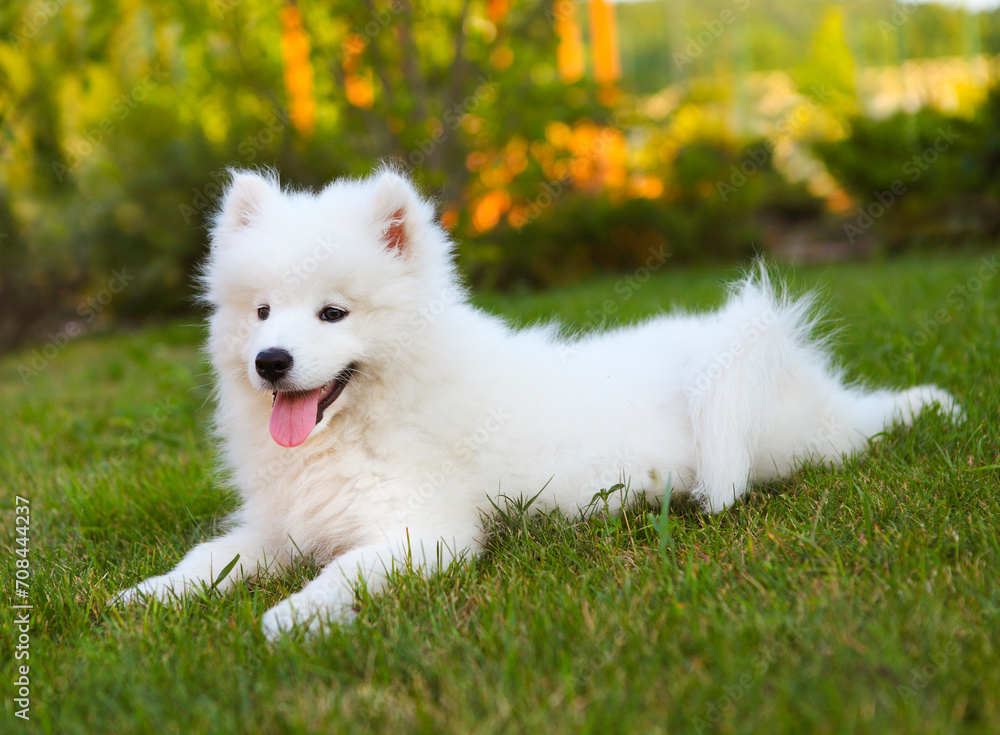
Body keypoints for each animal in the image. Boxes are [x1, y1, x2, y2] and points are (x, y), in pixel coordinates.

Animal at [111, 168, 960, 640]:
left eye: (332, 313)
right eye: (260, 313)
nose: (271, 362)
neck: (363, 425)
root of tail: (738, 344)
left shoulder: (423, 532)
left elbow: (342, 572)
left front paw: (294, 616)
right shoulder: (280, 524)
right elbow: (207, 558)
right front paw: (143, 597)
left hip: (793, 438)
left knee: (862, 419)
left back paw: (930, 403)